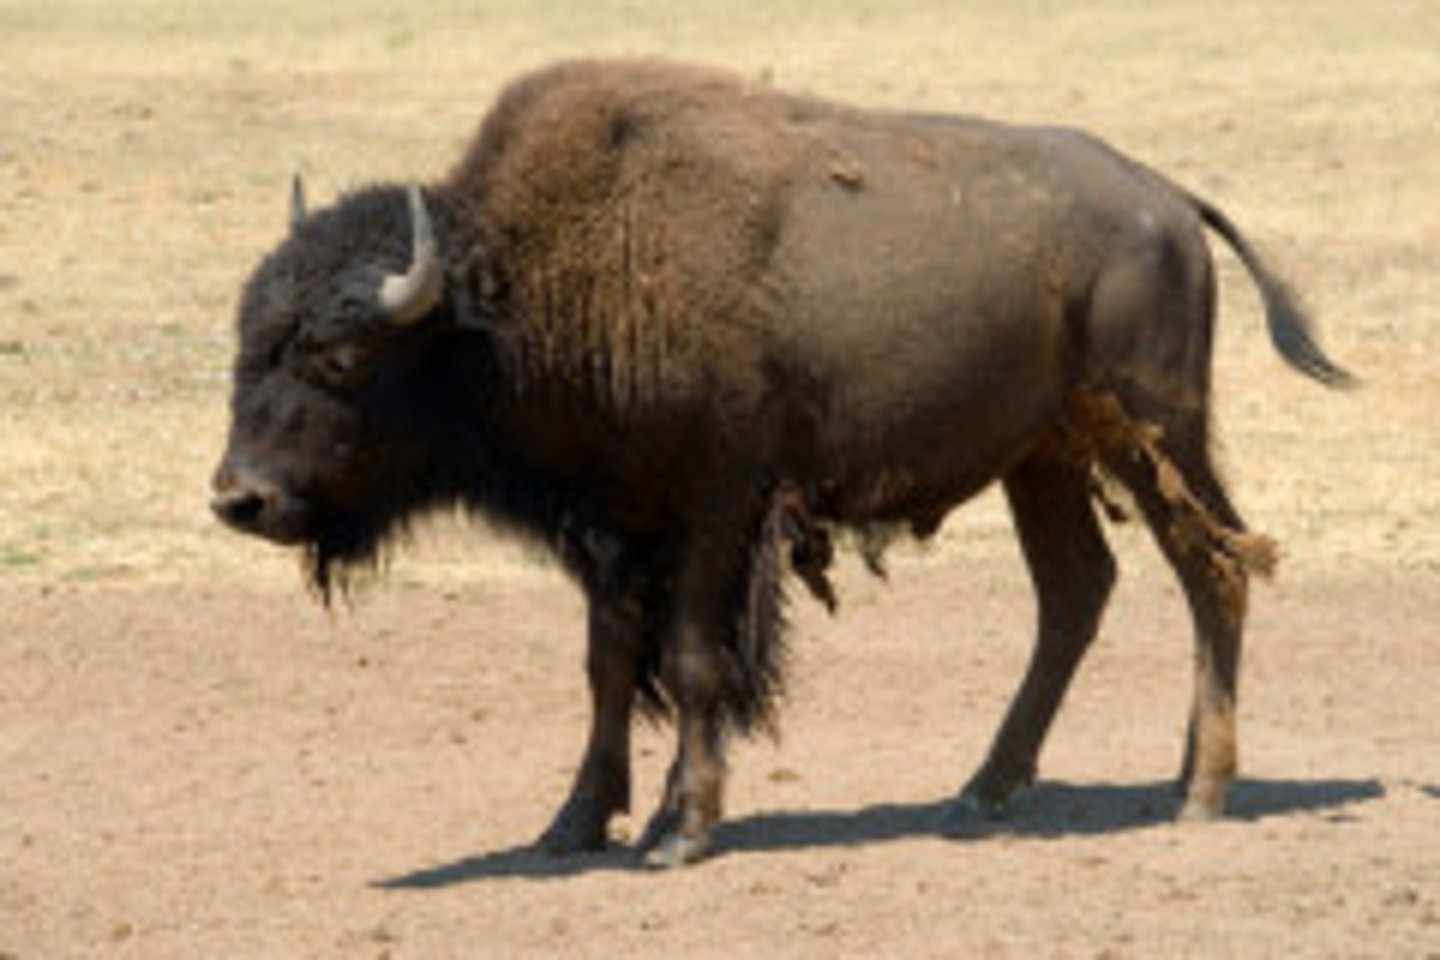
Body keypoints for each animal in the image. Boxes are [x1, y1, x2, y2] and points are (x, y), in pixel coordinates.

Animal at [212, 59, 1351, 866]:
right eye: (246, 339)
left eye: (342, 355)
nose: (239, 497)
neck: (519, 291)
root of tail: (1170, 200)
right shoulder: (616, 532)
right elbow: (608, 667)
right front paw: (574, 824)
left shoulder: (719, 511)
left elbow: (693, 662)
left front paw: (681, 832)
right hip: (1042, 459)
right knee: (1077, 592)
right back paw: (984, 790)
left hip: (1155, 434)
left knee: (1214, 571)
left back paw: (1198, 791)